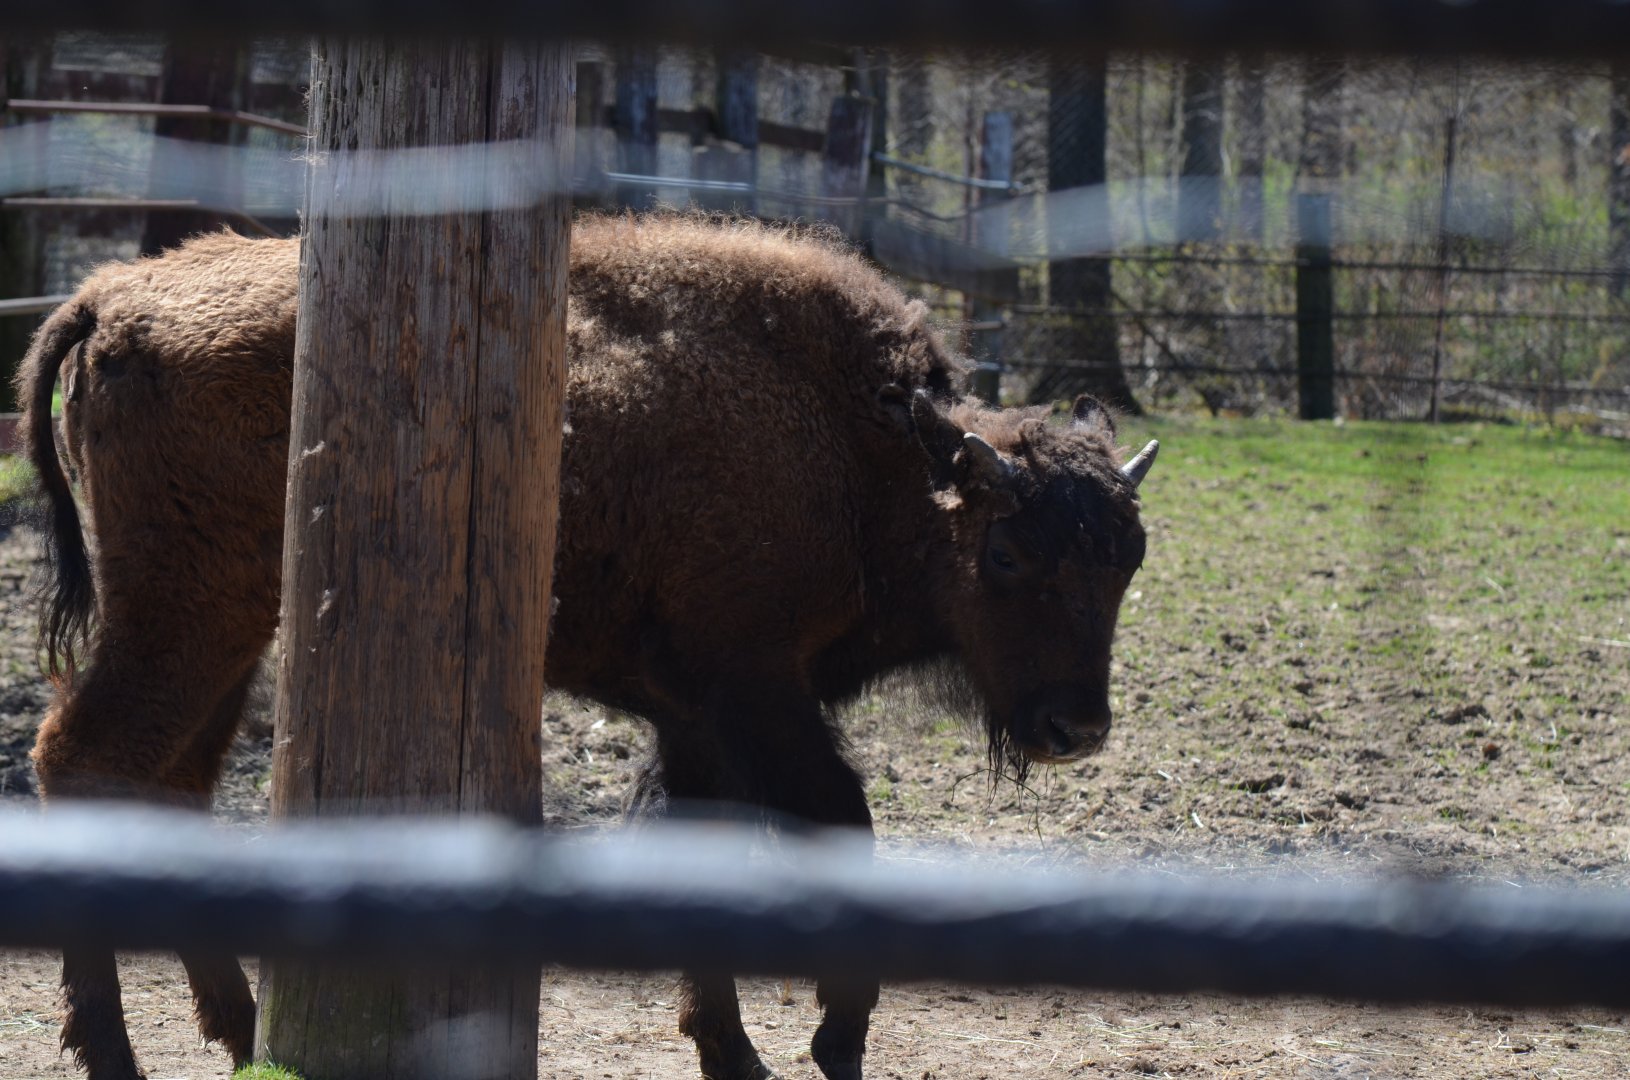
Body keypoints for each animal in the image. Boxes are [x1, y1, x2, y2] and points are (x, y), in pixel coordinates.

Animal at [17, 215, 1156, 1080]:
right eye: (1006, 552)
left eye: (1127, 560)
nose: (1075, 729)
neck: (865, 449)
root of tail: (113, 297)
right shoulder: (750, 690)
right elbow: (840, 823)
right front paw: (830, 1042)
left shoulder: (697, 718)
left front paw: (732, 1052)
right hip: (184, 613)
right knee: (82, 758)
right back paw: (116, 1055)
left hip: (230, 626)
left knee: (172, 783)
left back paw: (243, 1031)